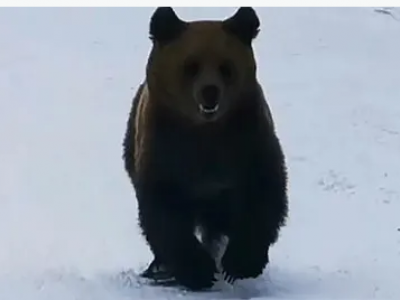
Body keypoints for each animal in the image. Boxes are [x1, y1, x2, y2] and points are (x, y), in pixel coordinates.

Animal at [122, 7, 288, 292]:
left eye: (226, 67)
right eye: (191, 66)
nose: (210, 92)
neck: (206, 132)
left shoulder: (249, 144)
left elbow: (263, 196)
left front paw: (240, 263)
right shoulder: (166, 152)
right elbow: (165, 214)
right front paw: (198, 270)